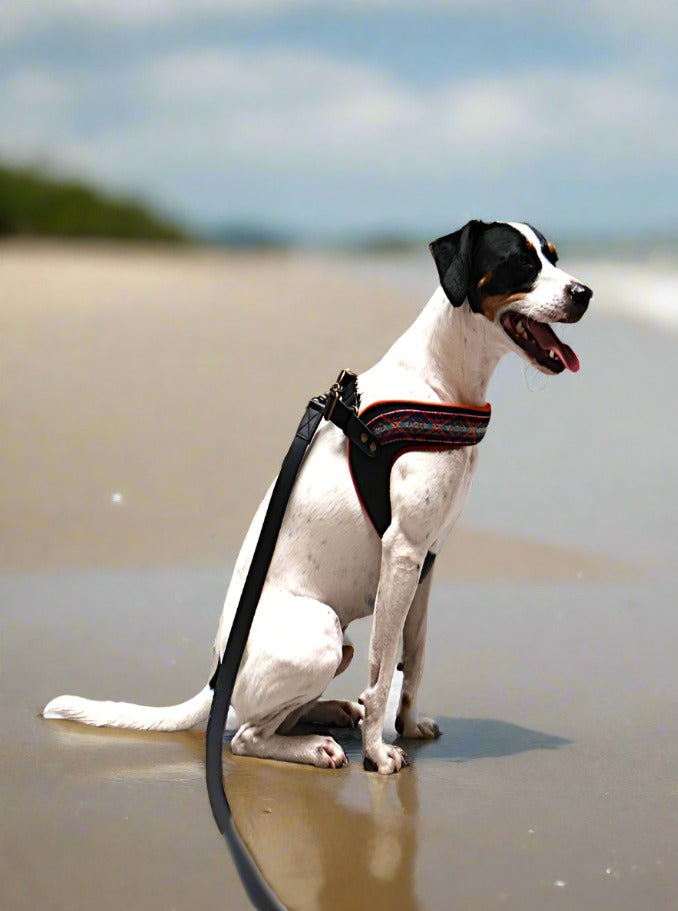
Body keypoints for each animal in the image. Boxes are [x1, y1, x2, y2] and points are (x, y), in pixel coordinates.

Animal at [45, 221, 592, 776]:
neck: (440, 383)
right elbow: (382, 672)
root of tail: (218, 677)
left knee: (281, 716)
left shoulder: (428, 559)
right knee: (246, 735)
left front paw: (409, 725)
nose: (585, 293)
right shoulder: (403, 553)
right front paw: (377, 752)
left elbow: (413, 660)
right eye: (521, 263)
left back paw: (330, 712)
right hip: (321, 632)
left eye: (553, 256)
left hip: (337, 643)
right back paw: (316, 746)